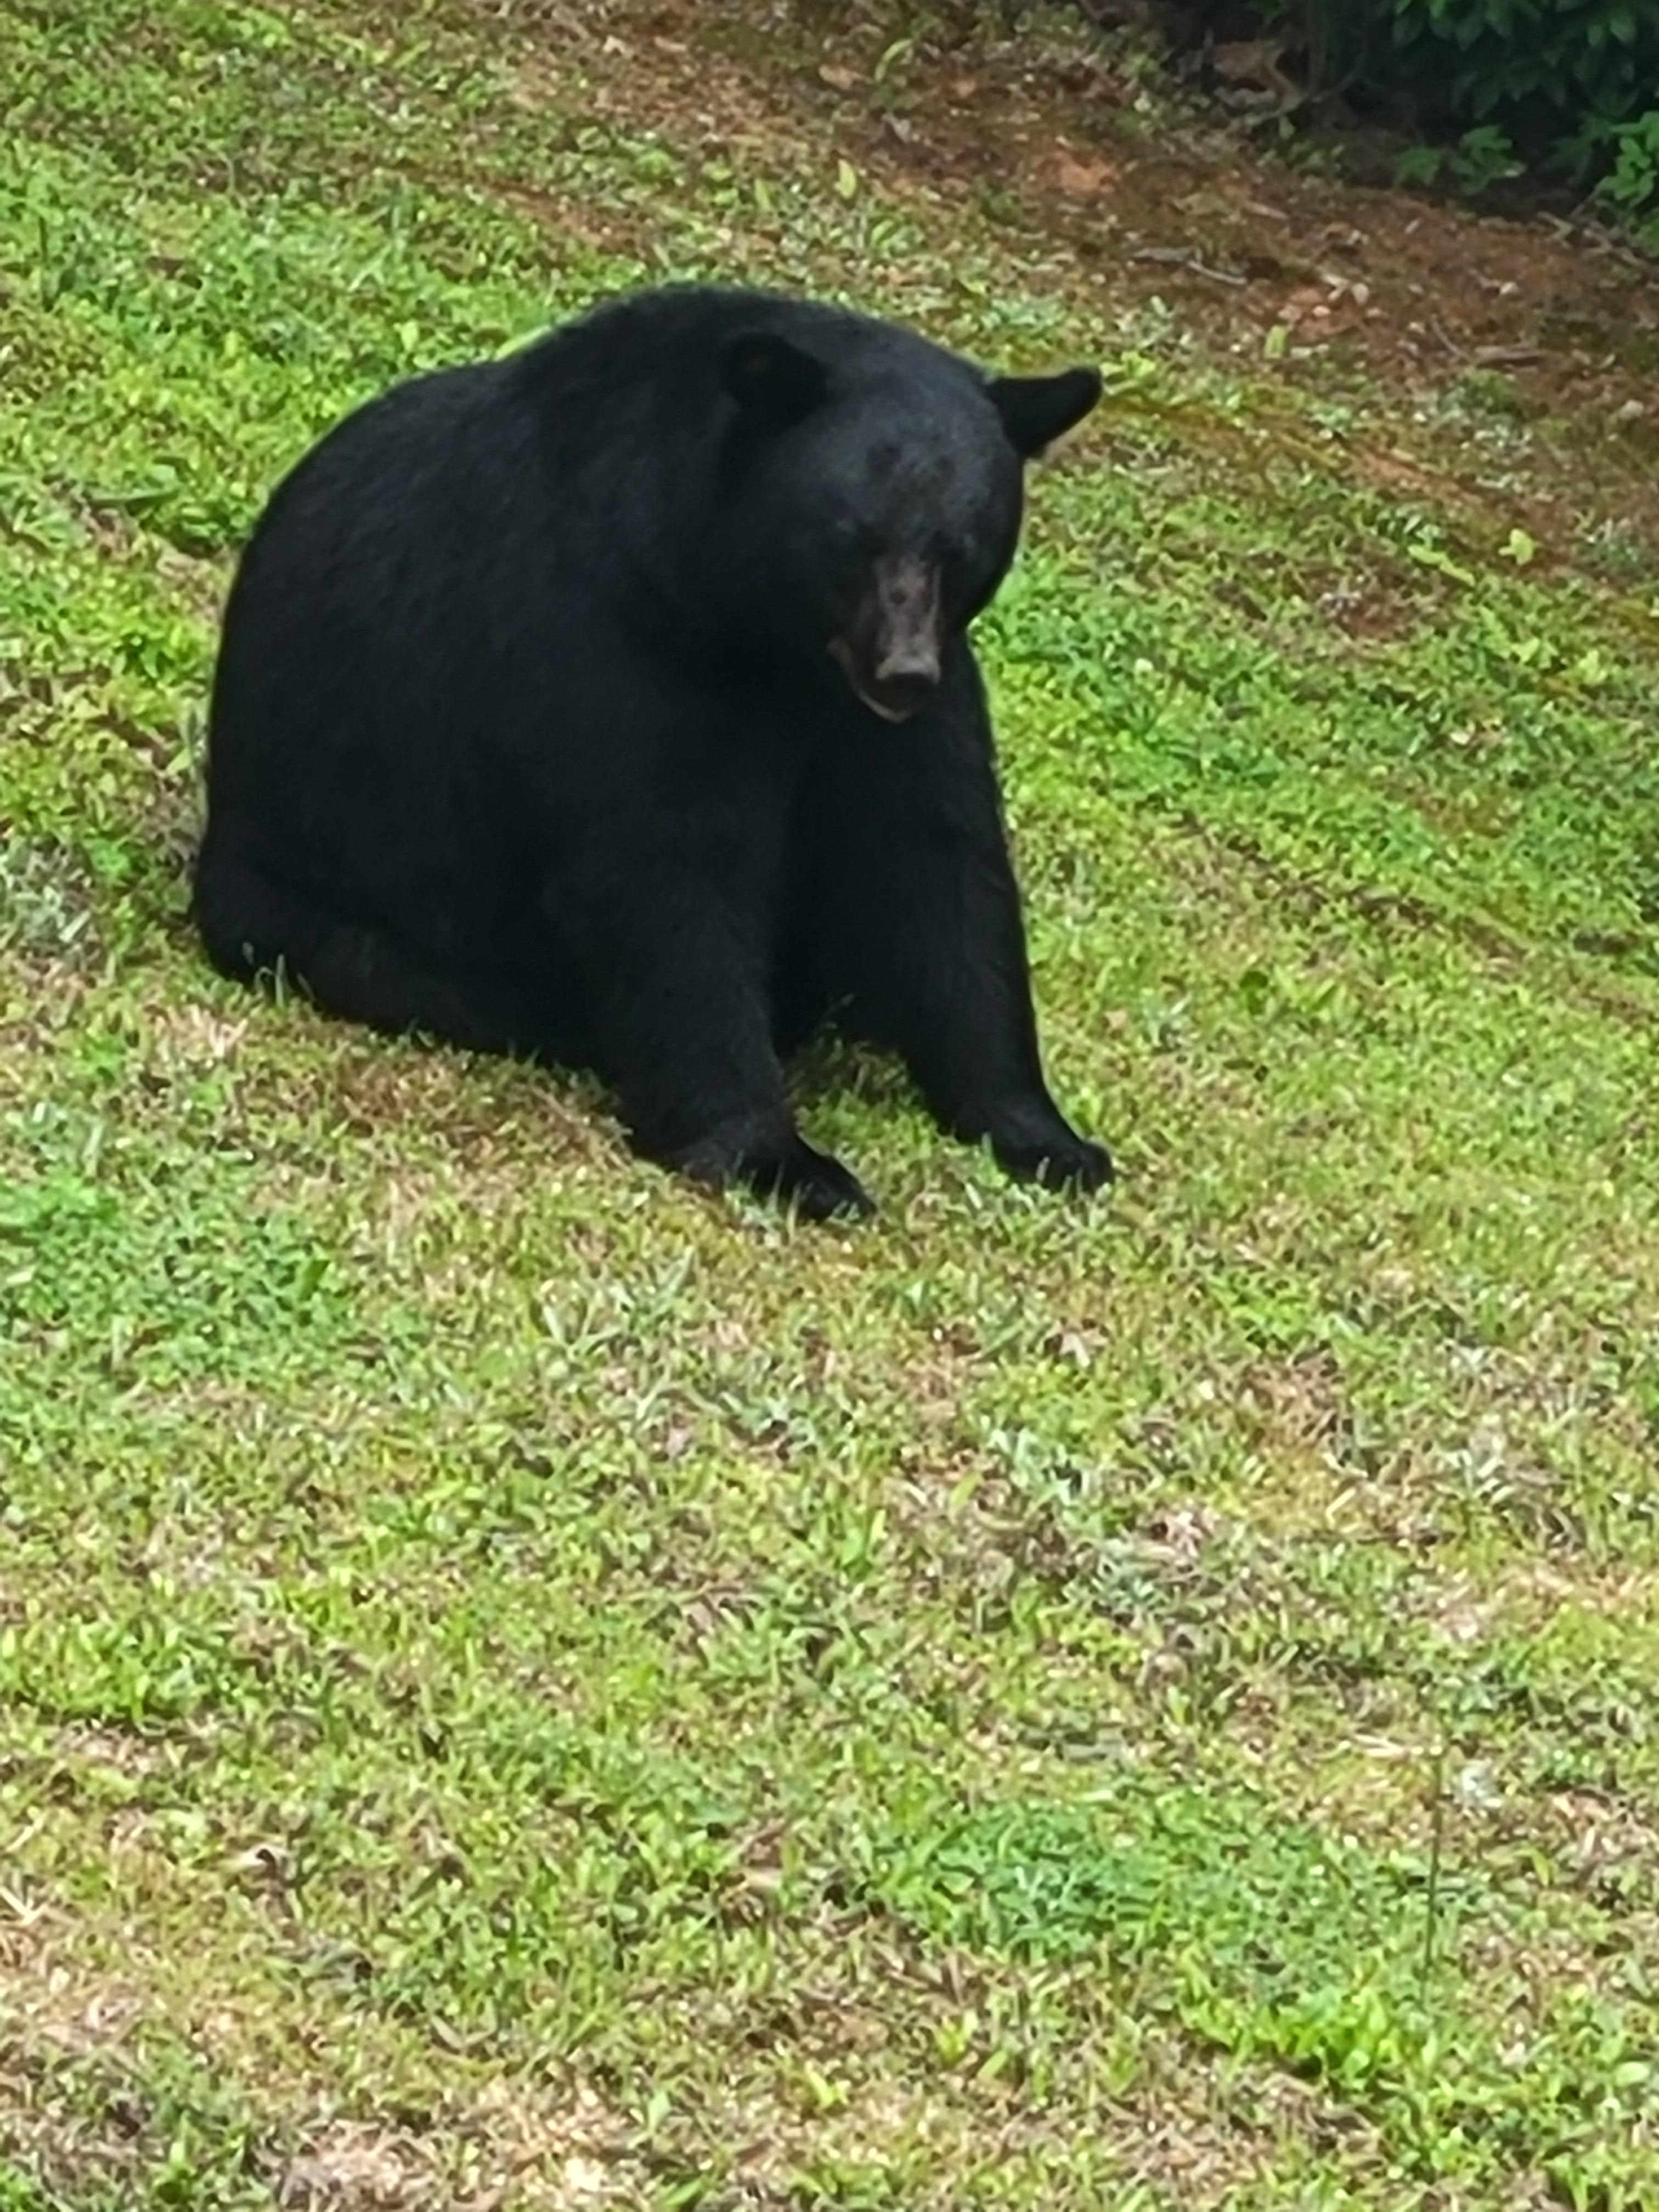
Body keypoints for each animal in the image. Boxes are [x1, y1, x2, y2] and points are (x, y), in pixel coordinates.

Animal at [193, 284, 1112, 1220]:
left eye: (962, 548)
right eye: (852, 537)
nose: (902, 671)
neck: (765, 640)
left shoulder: (894, 712)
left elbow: (938, 865)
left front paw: (1046, 1137)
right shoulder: (612, 644)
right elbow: (663, 878)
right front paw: (784, 1160)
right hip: (322, 897)